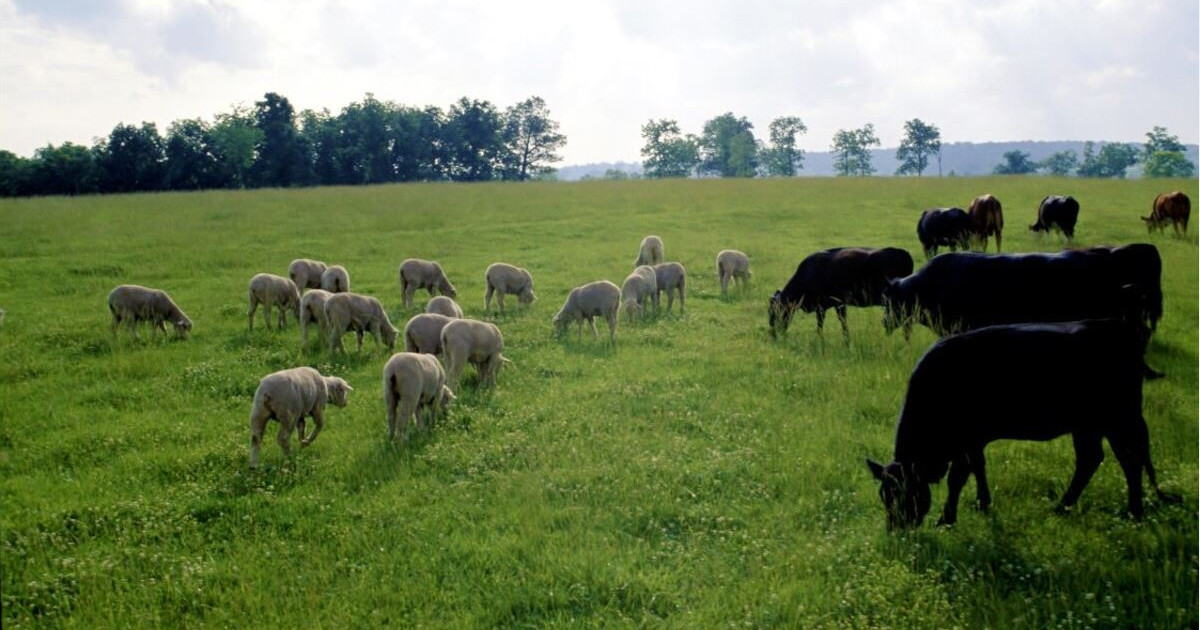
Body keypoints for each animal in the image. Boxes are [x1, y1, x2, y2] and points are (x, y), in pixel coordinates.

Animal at [772, 246, 912, 336]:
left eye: (774, 311)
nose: (773, 331)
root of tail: (904, 253)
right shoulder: (826, 306)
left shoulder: (834, 304)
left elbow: (838, 322)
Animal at [868, 316, 1166, 528]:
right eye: (884, 495)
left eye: (904, 492)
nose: (895, 529)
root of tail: (1118, 328)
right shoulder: (974, 442)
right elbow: (979, 469)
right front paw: (983, 503)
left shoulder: (966, 441)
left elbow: (957, 478)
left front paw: (947, 518)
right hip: (1090, 425)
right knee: (1095, 459)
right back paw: (1067, 507)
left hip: (1118, 418)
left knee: (1129, 459)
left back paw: (1132, 512)